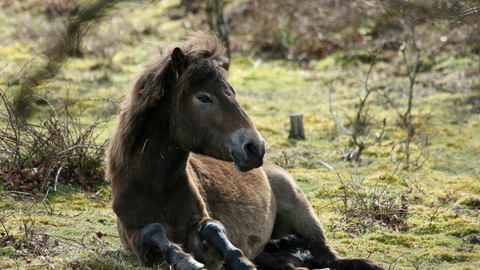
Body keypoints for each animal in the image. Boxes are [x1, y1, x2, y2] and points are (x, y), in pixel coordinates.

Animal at [106, 32, 386, 270]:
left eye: (232, 92)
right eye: (204, 97)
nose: (255, 147)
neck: (156, 187)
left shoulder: (201, 222)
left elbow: (213, 228)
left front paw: (236, 259)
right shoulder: (135, 237)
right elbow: (152, 231)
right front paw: (186, 259)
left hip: (302, 213)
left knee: (328, 256)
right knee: (290, 261)